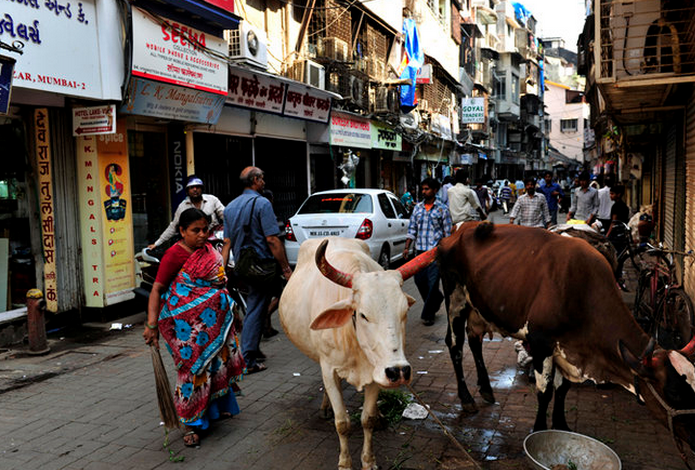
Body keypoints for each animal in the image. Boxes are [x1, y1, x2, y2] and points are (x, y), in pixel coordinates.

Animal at [278, 239, 436, 470]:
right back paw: (325, 407)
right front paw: (345, 463)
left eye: (404, 312)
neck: (353, 337)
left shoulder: (377, 371)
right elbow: (342, 423)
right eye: (363, 315)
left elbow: (366, 420)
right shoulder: (329, 370)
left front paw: (369, 461)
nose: (399, 372)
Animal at [440, 222, 695, 458]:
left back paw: (486, 389)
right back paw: (466, 398)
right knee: (455, 346)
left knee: (475, 341)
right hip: (455, 298)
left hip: (478, 307)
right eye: (674, 393)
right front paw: (538, 431)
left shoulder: (568, 347)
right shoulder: (541, 343)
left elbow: (562, 389)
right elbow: (545, 392)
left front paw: (560, 425)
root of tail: (462, 228)